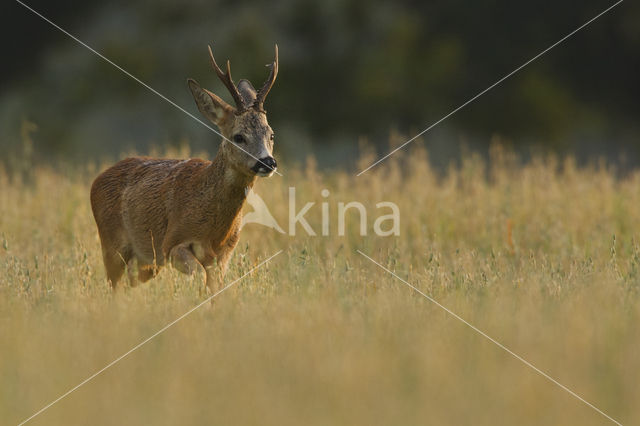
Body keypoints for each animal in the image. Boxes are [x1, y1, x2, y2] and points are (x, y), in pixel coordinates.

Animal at [89, 45, 278, 292]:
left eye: (271, 134)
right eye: (239, 137)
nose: (268, 162)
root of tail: (97, 180)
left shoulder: (224, 254)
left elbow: (216, 288)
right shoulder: (171, 242)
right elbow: (198, 275)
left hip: (144, 261)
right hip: (111, 244)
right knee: (114, 284)